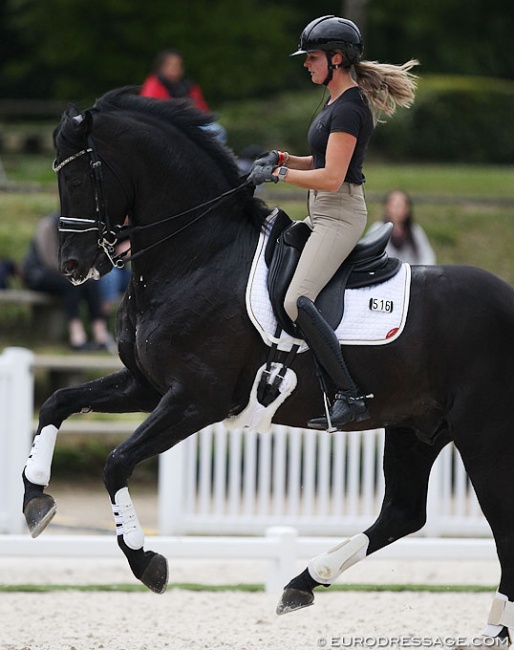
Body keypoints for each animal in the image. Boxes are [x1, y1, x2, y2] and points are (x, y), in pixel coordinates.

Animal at [23, 86, 512, 636]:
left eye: (76, 178)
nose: (72, 265)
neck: (197, 254)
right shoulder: (146, 386)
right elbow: (58, 402)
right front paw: (35, 500)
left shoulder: (196, 399)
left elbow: (116, 462)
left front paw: (146, 561)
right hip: (417, 428)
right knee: (403, 512)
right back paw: (304, 582)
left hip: (484, 433)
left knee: (500, 524)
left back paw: (494, 628)